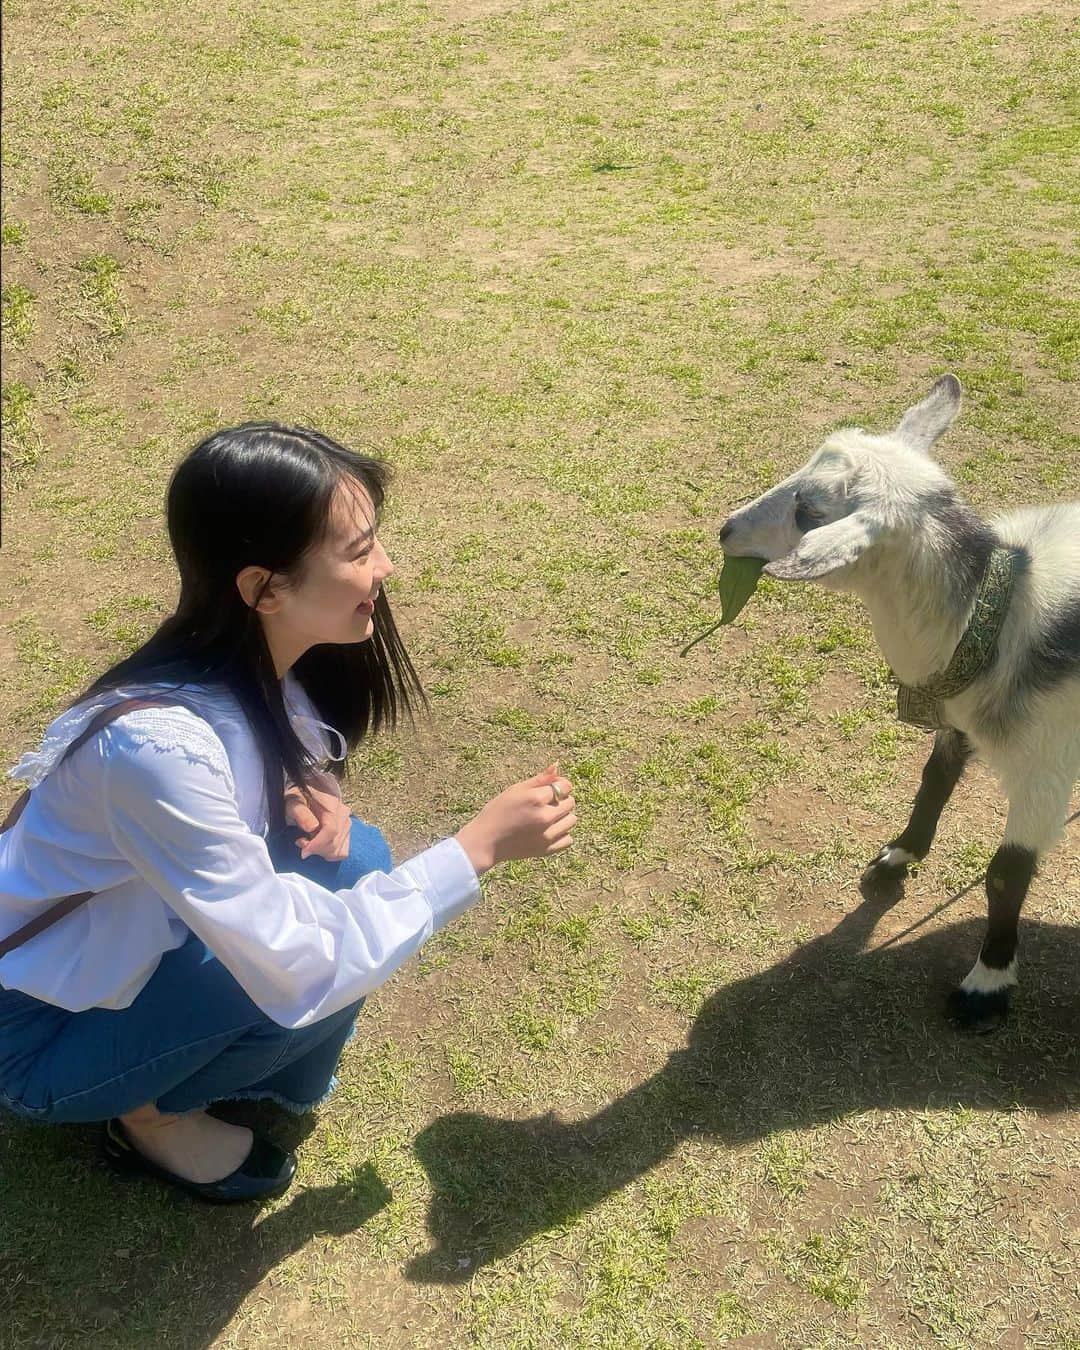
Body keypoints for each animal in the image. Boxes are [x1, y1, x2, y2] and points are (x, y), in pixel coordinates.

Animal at [718, 375, 1080, 1026]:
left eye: (810, 512)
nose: (726, 530)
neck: (1000, 613)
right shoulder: (956, 720)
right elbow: (934, 779)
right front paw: (898, 856)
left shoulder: (1047, 767)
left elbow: (1006, 875)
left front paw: (986, 985)